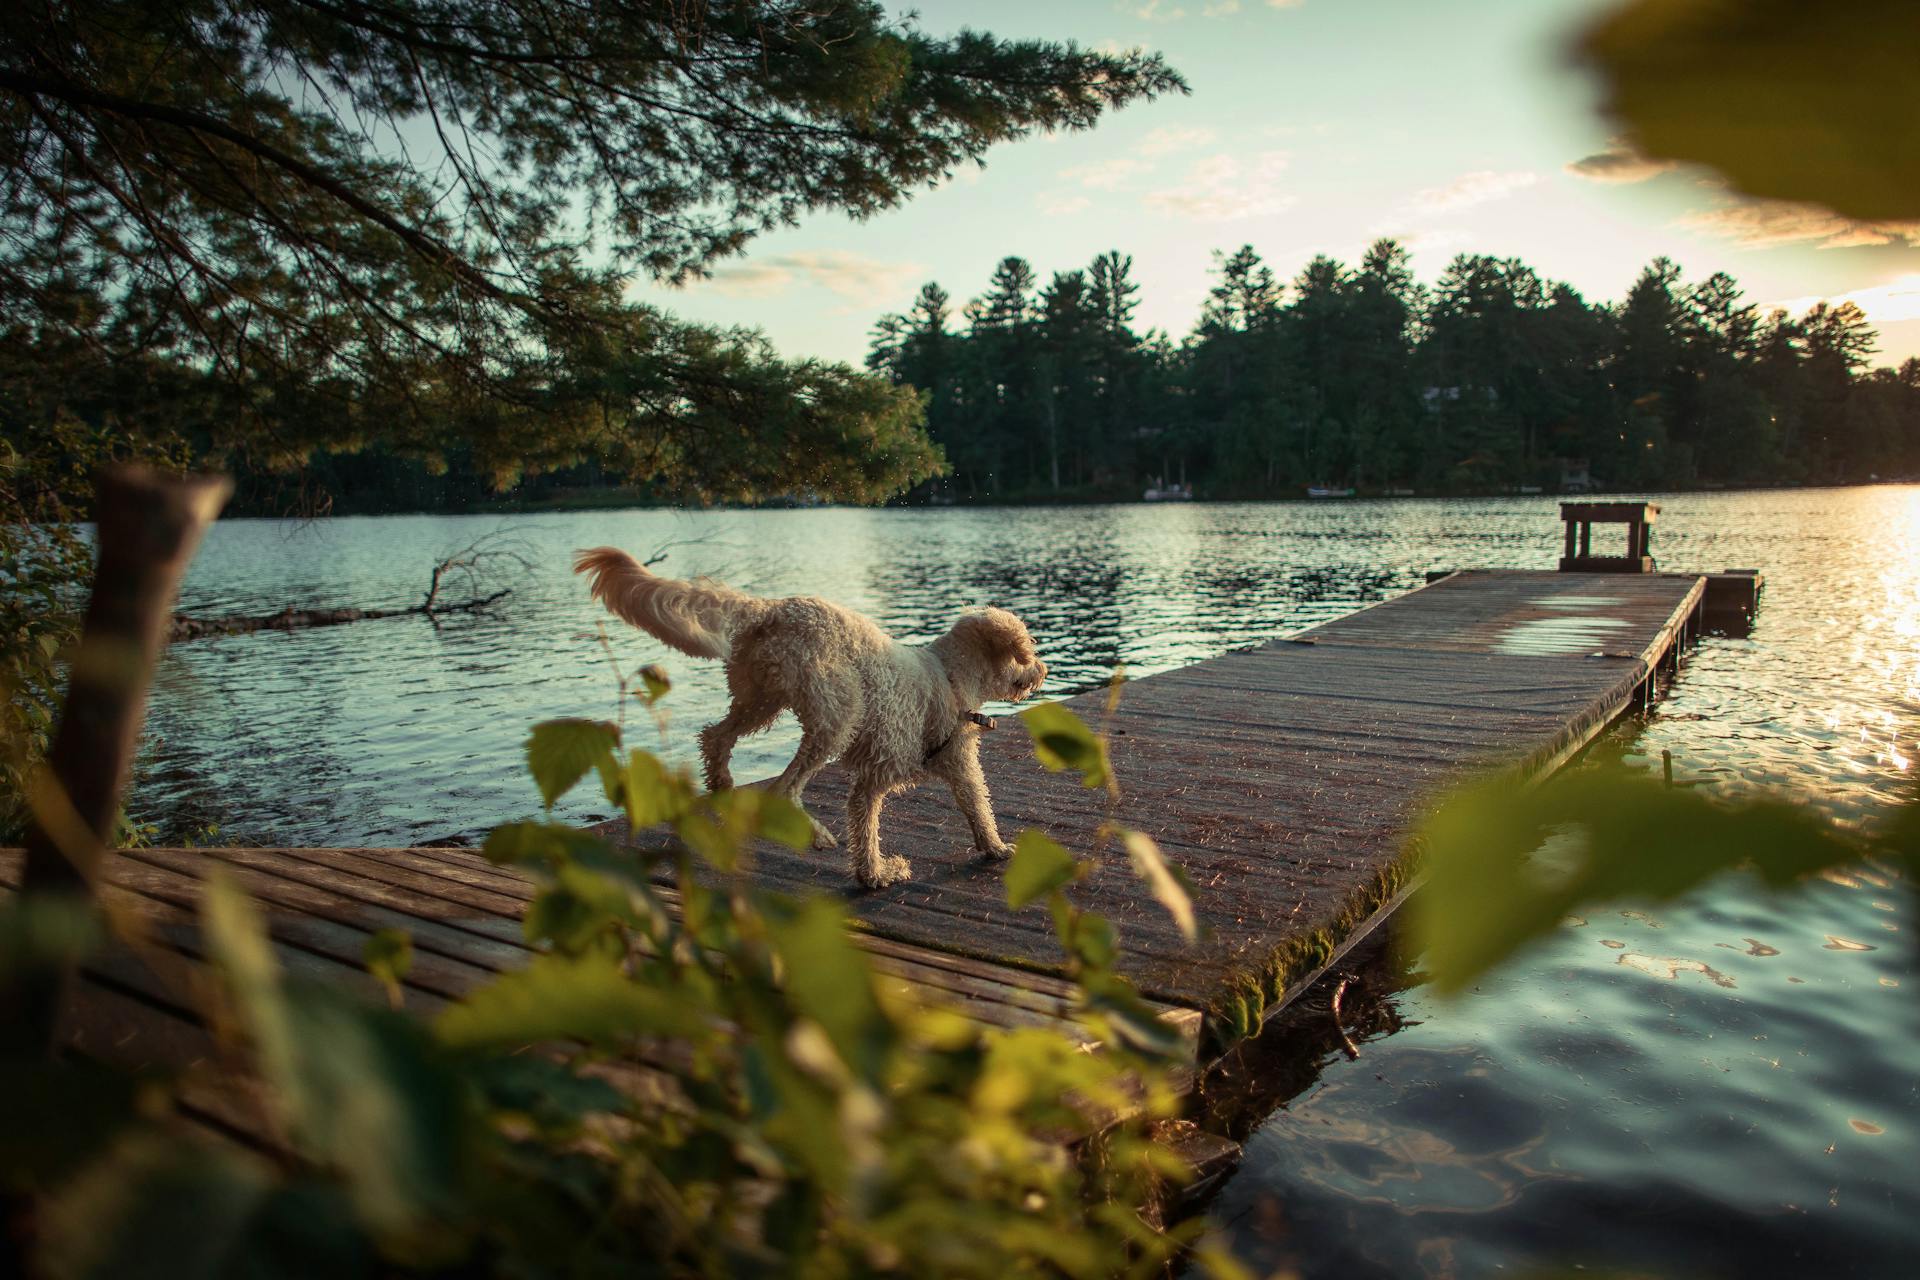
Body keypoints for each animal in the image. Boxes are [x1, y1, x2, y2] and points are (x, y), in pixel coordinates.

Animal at [572, 552, 1052, 890]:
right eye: (1028, 647)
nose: (1043, 670)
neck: (948, 677)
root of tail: (771, 609)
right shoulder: (876, 777)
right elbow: (872, 829)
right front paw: (879, 874)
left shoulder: (948, 768)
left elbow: (974, 808)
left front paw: (990, 848)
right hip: (835, 716)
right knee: (784, 788)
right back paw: (816, 834)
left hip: (759, 699)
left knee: (715, 738)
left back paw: (723, 786)